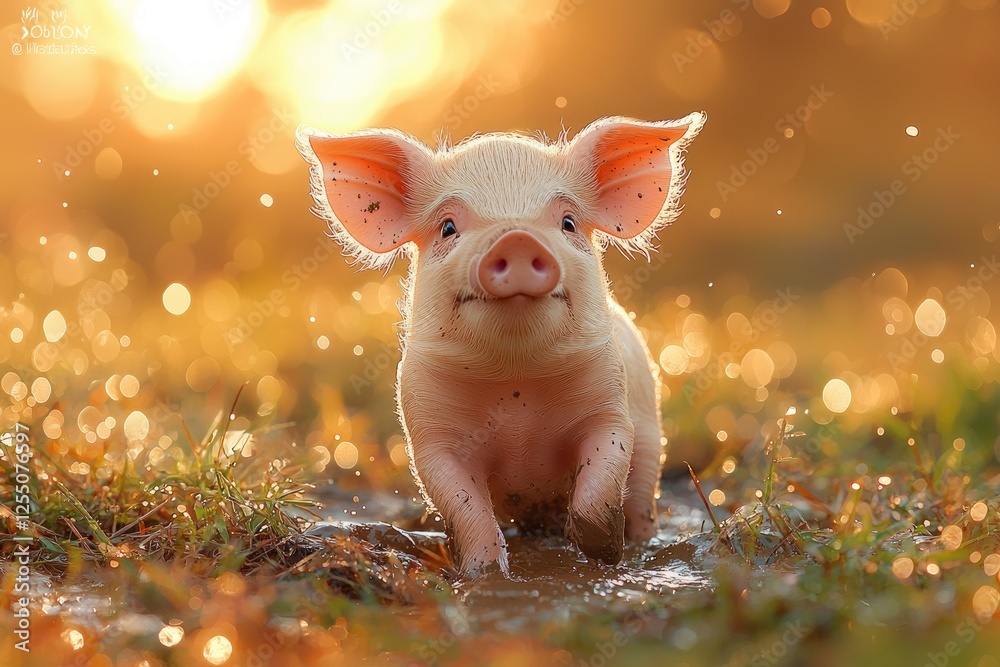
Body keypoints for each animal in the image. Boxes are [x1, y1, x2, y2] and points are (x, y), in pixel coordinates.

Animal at [296, 113, 706, 576]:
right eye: (448, 227)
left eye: (567, 222)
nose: (517, 239)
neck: (516, 387)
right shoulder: (432, 438)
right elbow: (466, 511)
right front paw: (485, 575)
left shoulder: (610, 407)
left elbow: (600, 482)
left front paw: (602, 554)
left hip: (653, 441)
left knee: (640, 498)